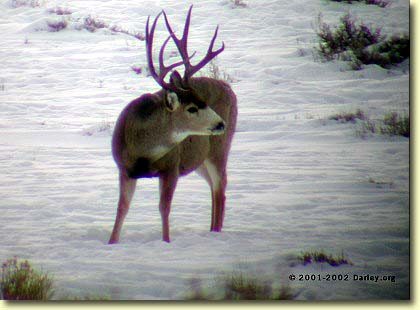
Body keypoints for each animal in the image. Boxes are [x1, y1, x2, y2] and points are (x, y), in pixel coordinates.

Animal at [108, 3, 238, 243]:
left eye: (204, 101)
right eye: (192, 108)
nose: (221, 124)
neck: (143, 151)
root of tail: (228, 87)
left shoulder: (172, 167)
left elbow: (164, 208)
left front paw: (166, 242)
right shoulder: (125, 169)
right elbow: (122, 209)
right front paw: (112, 242)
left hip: (219, 148)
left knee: (220, 186)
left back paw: (216, 232)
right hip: (200, 159)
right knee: (213, 186)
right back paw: (211, 229)